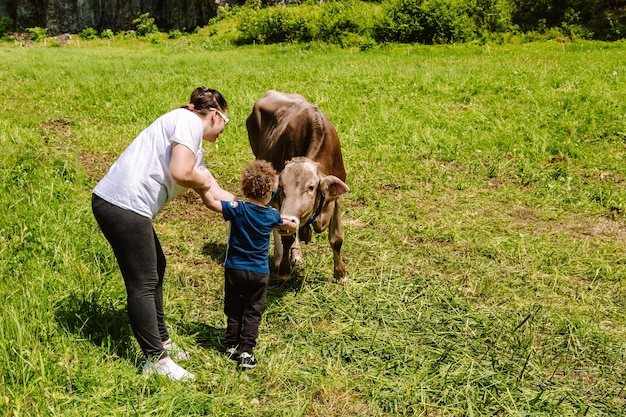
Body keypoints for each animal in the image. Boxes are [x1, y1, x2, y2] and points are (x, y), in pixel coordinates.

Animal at [245, 90, 352, 282]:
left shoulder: (337, 196)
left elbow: (337, 238)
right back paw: (280, 258)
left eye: (311, 187)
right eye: (281, 187)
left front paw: (340, 274)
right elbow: (286, 237)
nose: (287, 220)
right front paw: (284, 271)